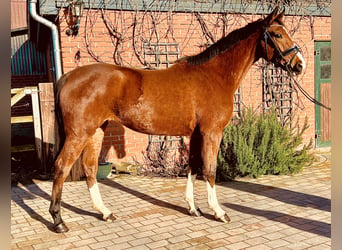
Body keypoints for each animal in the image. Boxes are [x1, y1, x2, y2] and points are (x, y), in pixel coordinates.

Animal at [50, 6, 304, 232]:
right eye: (277, 34)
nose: (299, 65)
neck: (214, 76)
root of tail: (69, 77)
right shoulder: (212, 133)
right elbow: (210, 170)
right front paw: (219, 212)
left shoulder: (196, 135)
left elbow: (193, 167)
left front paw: (193, 208)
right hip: (79, 134)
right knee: (62, 166)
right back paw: (58, 221)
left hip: (96, 131)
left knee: (90, 168)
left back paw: (105, 212)